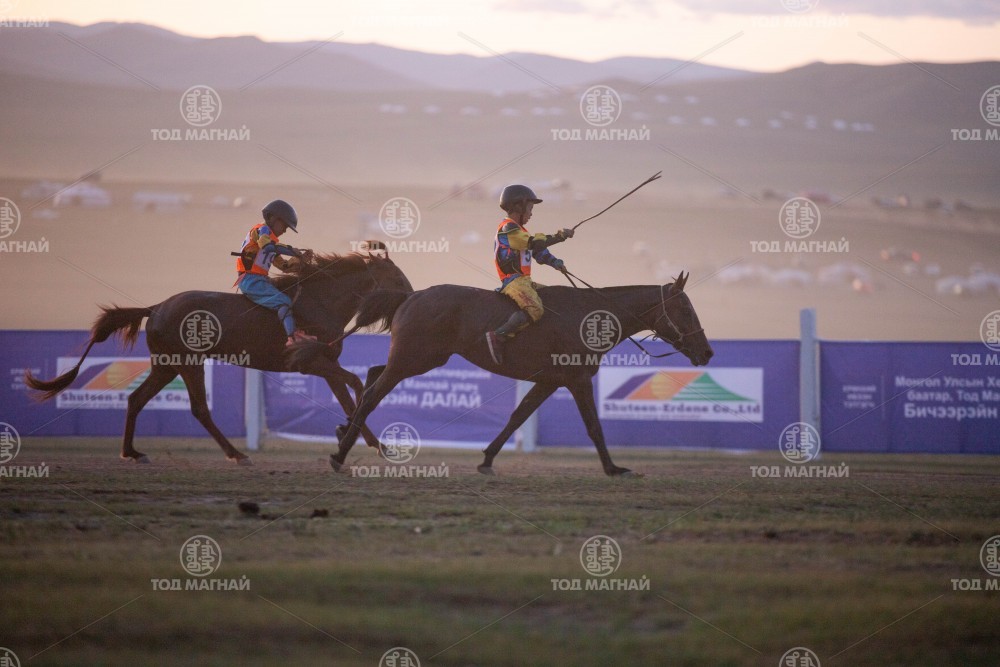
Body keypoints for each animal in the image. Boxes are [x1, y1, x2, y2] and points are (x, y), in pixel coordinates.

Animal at [25, 251, 413, 464]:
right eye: (395, 275)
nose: (412, 296)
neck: (320, 302)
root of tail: (156, 307)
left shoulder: (326, 365)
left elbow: (348, 396)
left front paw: (367, 440)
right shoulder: (309, 362)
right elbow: (356, 384)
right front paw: (360, 437)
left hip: (167, 366)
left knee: (137, 399)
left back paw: (133, 452)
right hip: (187, 364)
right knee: (198, 408)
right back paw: (237, 454)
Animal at [293, 271, 713, 476]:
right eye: (686, 309)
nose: (707, 352)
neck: (589, 317)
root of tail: (411, 296)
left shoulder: (548, 382)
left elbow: (516, 418)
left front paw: (487, 459)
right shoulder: (576, 380)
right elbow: (594, 426)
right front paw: (613, 468)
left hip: (421, 359)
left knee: (371, 377)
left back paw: (347, 434)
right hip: (412, 359)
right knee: (374, 391)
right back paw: (341, 453)